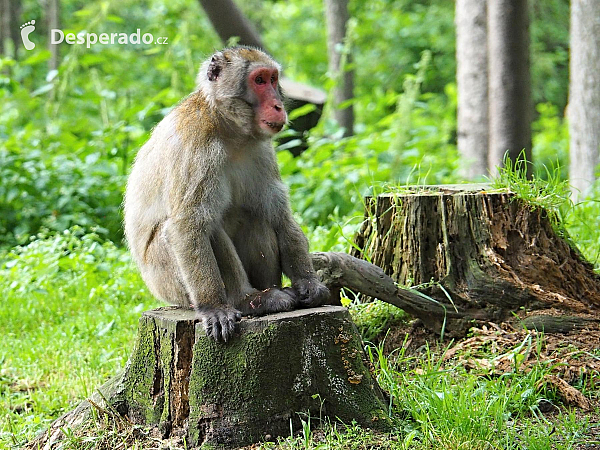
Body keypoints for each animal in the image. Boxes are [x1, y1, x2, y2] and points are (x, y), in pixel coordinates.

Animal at [122, 45, 328, 342]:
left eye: (273, 79)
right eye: (259, 80)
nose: (278, 105)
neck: (229, 129)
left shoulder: (262, 151)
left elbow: (279, 215)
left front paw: (308, 283)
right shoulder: (196, 148)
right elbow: (187, 226)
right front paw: (214, 308)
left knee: (256, 218)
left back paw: (271, 293)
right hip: (170, 283)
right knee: (207, 229)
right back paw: (247, 300)